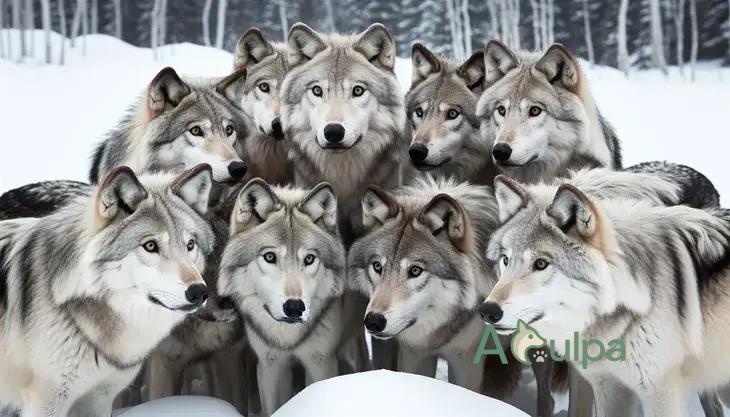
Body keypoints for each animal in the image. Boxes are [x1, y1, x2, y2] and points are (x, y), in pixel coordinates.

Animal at [218, 179, 346, 416]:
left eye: (309, 259)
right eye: (269, 257)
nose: (295, 307)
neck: (288, 340)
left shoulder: (321, 361)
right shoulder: (270, 364)